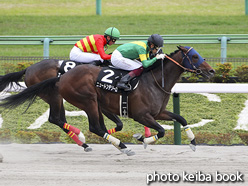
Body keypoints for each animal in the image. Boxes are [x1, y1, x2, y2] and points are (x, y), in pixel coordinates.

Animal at [0, 46, 215, 155]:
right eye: (194, 57)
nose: (212, 71)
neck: (153, 80)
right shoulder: (141, 115)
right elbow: (161, 131)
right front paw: (142, 139)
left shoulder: (158, 112)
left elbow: (181, 119)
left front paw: (193, 142)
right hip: (81, 99)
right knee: (86, 125)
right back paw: (112, 145)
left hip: (80, 101)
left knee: (70, 121)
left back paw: (90, 142)